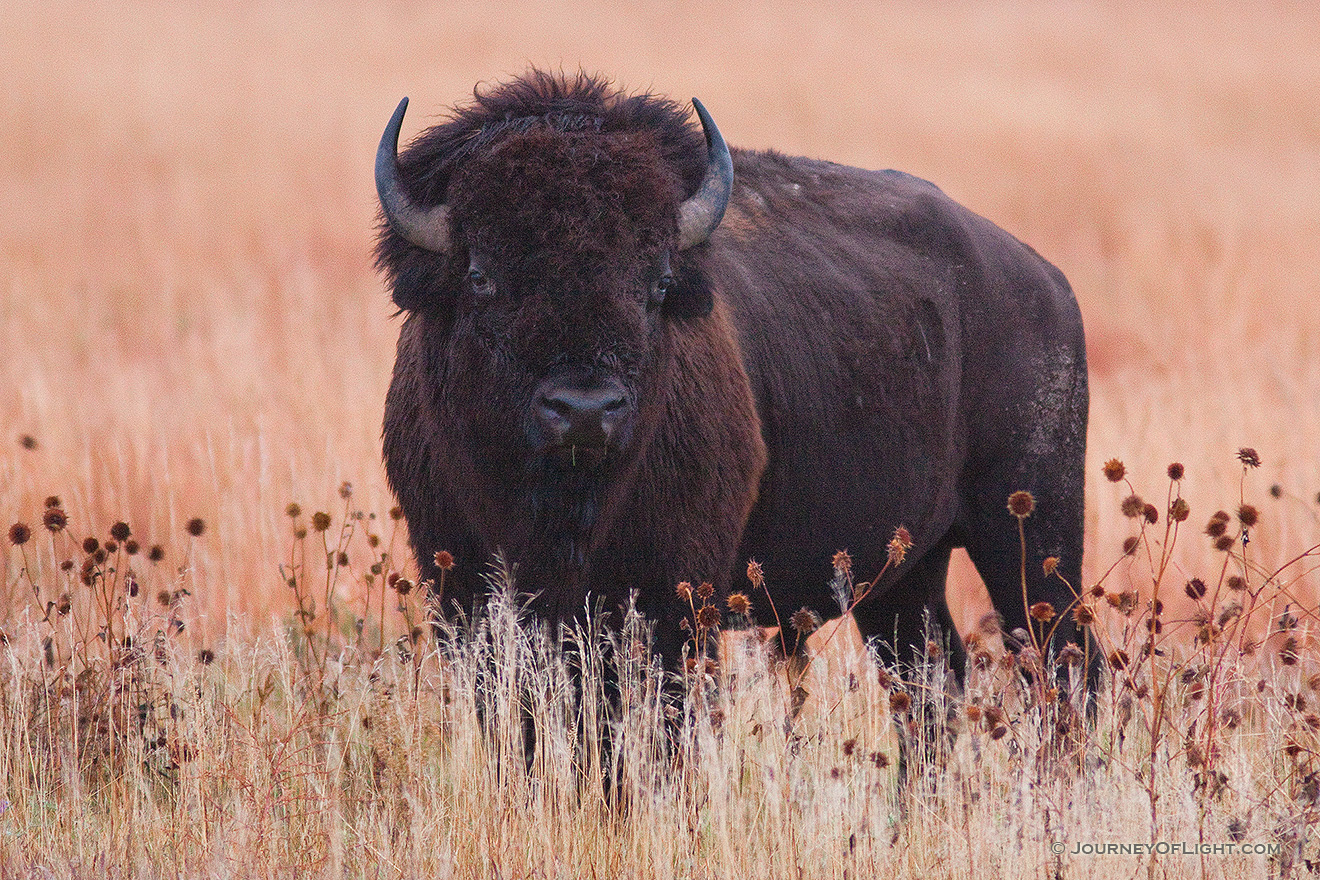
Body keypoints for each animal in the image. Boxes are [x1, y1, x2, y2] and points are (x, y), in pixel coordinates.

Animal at [374, 72, 1092, 686]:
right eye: (480, 276)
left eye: (659, 282)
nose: (584, 410)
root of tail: (1045, 280)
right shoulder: (464, 593)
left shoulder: (674, 605)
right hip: (906, 579)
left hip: (1032, 539)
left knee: (1066, 665)